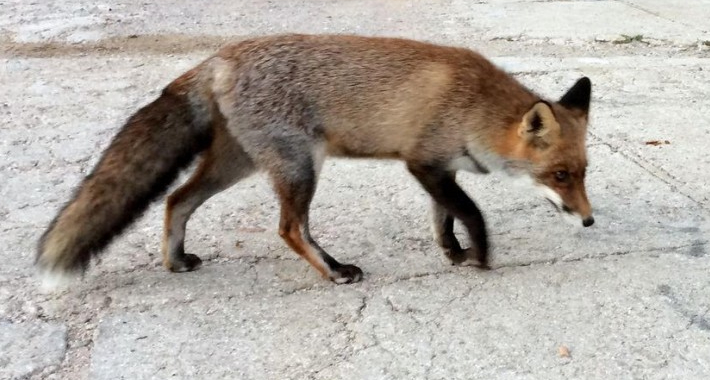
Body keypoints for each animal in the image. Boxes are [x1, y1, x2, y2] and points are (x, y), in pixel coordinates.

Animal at [37, 35, 596, 284]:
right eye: (560, 175)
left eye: (584, 173)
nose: (590, 221)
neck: (473, 106)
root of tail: (220, 57)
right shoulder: (423, 163)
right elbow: (472, 213)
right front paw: (479, 256)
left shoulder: (442, 168)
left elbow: (445, 218)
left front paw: (455, 254)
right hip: (300, 166)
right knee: (289, 229)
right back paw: (334, 271)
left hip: (239, 164)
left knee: (177, 200)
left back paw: (176, 260)